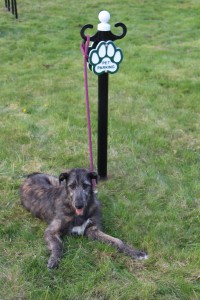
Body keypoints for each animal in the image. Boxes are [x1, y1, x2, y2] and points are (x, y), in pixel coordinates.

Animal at [20, 168, 148, 268]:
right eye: (71, 186)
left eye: (86, 185)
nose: (79, 205)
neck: (77, 212)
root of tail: (31, 175)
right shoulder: (51, 231)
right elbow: (58, 244)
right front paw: (54, 259)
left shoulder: (92, 230)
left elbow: (117, 241)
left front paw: (137, 253)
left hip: (57, 181)